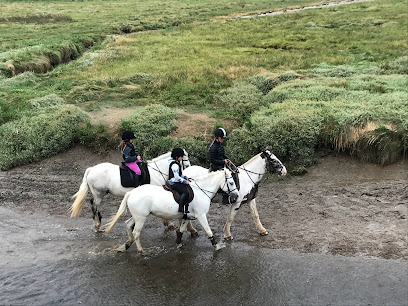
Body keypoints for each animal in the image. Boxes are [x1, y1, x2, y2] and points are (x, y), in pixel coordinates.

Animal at [103, 167, 241, 253]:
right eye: (232, 183)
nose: (236, 196)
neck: (201, 190)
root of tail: (131, 192)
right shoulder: (201, 215)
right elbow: (208, 231)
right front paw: (216, 246)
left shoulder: (187, 216)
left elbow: (181, 230)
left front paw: (178, 244)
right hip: (141, 218)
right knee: (136, 232)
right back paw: (141, 251)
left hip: (138, 216)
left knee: (128, 224)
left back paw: (126, 245)